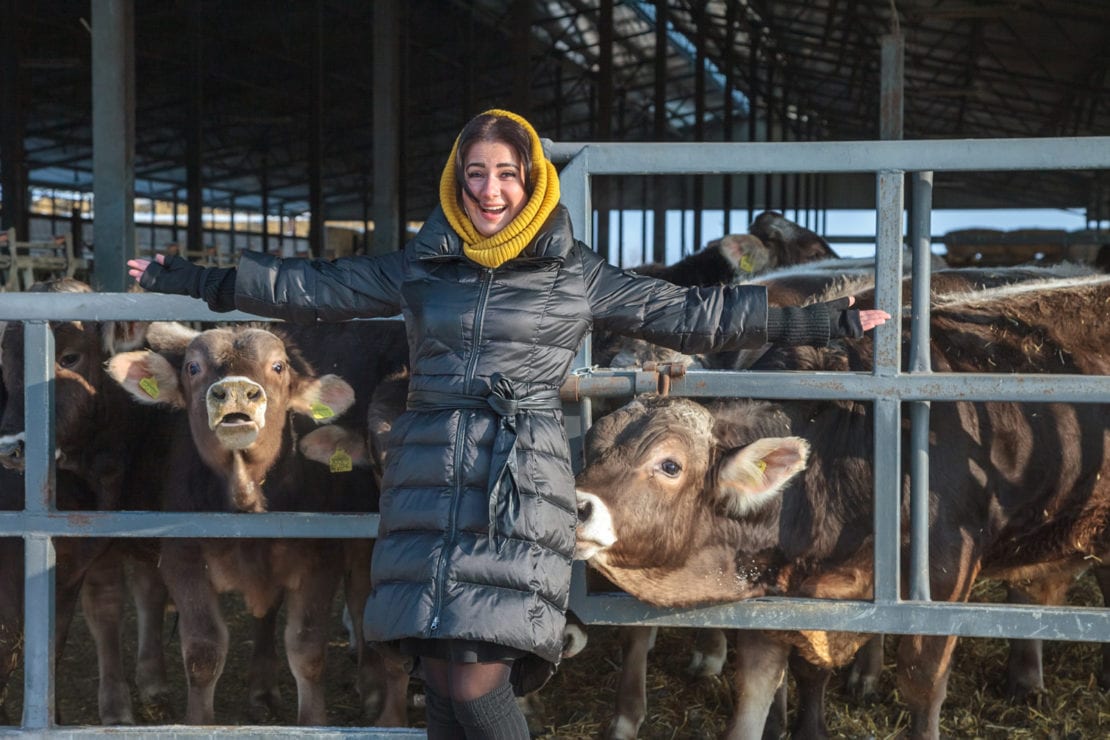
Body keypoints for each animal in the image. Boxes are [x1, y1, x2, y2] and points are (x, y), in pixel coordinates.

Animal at [572, 275, 1110, 736]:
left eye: (670, 465)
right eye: (591, 449)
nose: (577, 505)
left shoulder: (945, 575)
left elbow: (922, 684)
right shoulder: (786, 597)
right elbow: (767, 688)